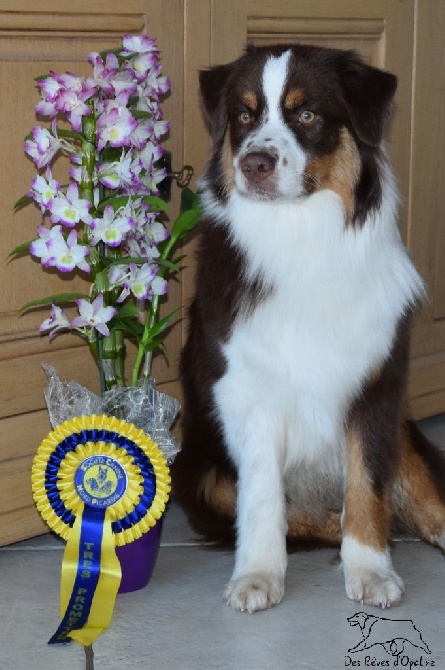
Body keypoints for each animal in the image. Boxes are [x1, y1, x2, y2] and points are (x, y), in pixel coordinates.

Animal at [172, 43, 444, 616]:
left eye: (308, 115)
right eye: (244, 115)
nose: (253, 163)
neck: (300, 238)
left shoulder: (377, 388)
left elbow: (367, 485)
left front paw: (371, 569)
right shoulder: (247, 392)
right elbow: (263, 498)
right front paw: (257, 574)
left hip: (404, 431)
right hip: (200, 473)